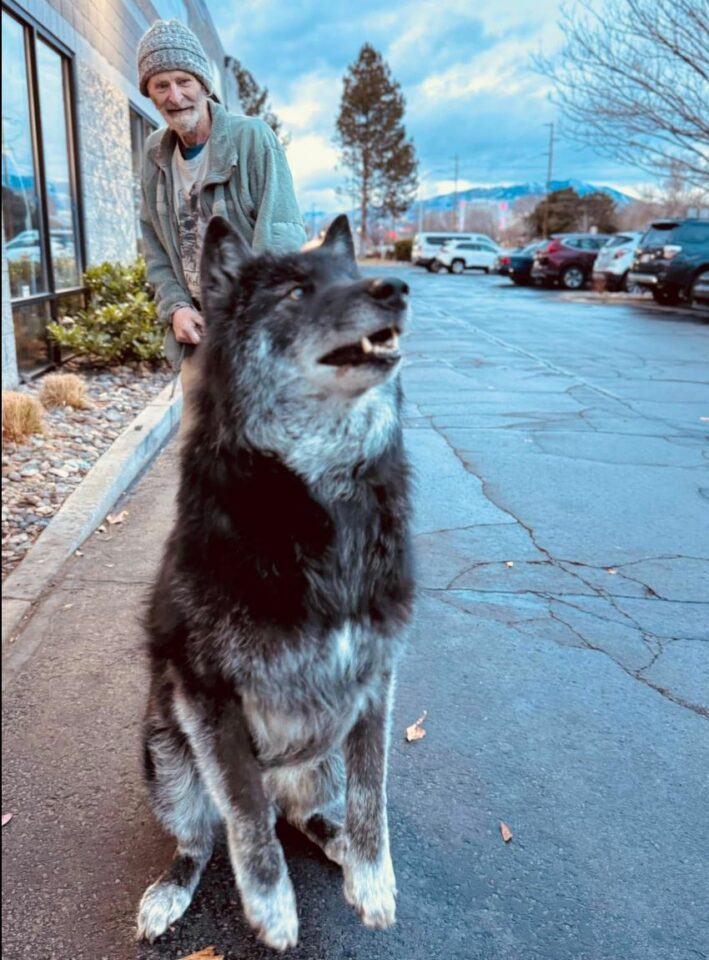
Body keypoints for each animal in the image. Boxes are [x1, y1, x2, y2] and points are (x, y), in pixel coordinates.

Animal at [137, 214, 414, 948]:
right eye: (294, 292)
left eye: (351, 276)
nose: (395, 287)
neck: (322, 496)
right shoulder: (208, 697)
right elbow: (244, 810)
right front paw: (270, 904)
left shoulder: (373, 683)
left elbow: (372, 795)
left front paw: (372, 880)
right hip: (167, 752)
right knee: (203, 838)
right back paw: (170, 892)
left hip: (319, 761)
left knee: (305, 816)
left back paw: (337, 843)